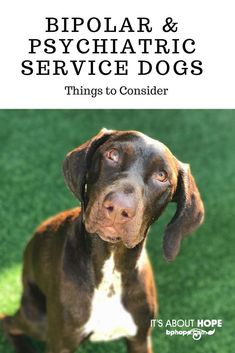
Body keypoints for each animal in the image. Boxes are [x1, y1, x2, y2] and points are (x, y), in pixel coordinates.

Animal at [0, 129, 204, 352]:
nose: (119, 208)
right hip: (38, 319)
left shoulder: (140, 338)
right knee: (7, 321)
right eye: (112, 154)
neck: (110, 271)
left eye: (161, 176)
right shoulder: (60, 342)